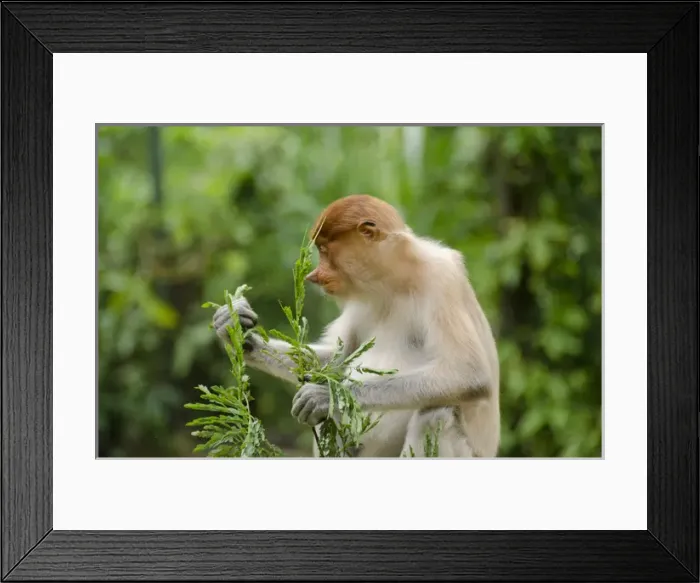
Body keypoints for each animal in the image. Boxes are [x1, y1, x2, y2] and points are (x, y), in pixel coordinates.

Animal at [213, 194, 500, 458]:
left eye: (325, 251)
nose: (313, 276)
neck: (393, 282)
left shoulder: (441, 280)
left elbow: (468, 374)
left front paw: (323, 397)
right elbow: (335, 361)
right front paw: (235, 327)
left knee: (436, 414)